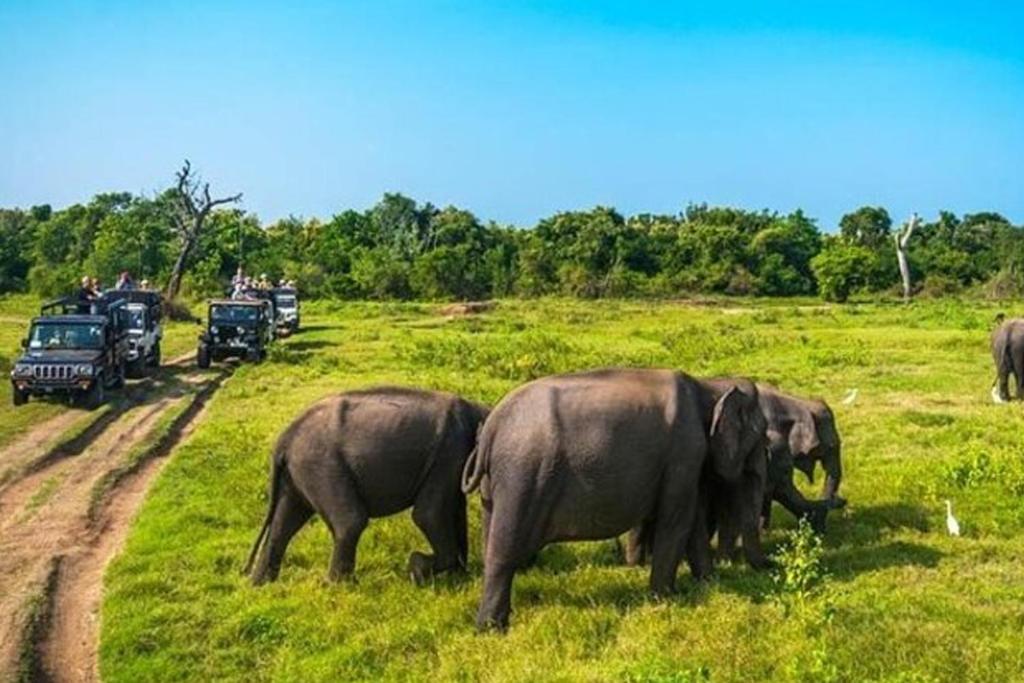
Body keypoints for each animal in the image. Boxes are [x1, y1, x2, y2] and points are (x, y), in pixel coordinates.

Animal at [244, 387, 489, 585]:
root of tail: (284, 439)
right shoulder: (448, 452)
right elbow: (428, 515)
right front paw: (416, 570)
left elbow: (454, 508)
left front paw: (459, 577)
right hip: (321, 464)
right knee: (350, 521)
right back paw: (342, 587)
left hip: (297, 473)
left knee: (285, 522)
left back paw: (261, 585)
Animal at [461, 368, 767, 630]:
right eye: (760, 434)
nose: (770, 567)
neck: (709, 384)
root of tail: (491, 427)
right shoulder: (684, 452)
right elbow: (676, 520)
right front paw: (665, 600)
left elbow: (691, 522)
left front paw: (707, 584)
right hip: (522, 475)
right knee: (504, 550)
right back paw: (492, 629)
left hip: (495, 485)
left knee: (490, 541)